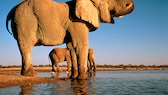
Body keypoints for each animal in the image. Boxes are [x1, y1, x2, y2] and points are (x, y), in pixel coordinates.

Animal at [5, 0, 134, 79]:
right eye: (108, 2)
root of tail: (13, 9)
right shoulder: (76, 23)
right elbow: (81, 44)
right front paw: (83, 79)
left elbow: (72, 47)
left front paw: (74, 78)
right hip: (25, 21)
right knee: (26, 46)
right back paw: (31, 75)